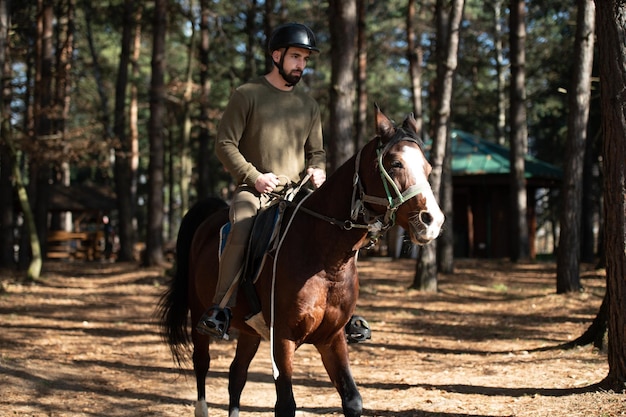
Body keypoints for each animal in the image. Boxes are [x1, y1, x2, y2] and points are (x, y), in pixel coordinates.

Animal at [161, 107, 444, 416]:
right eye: (395, 163)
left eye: (428, 168)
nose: (433, 221)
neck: (326, 261)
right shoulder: (283, 339)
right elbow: (286, 404)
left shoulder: (331, 338)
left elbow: (352, 399)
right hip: (199, 313)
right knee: (202, 363)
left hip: (249, 331)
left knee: (237, 375)